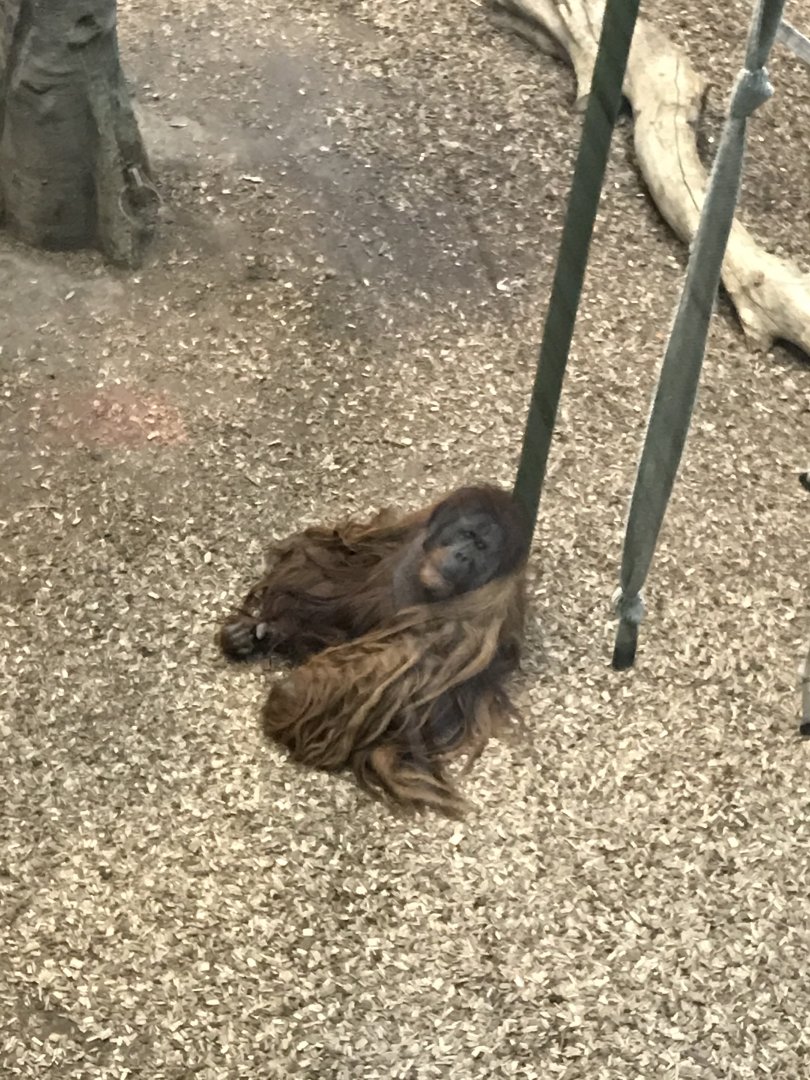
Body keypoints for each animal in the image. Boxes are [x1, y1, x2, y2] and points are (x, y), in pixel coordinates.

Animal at [217, 485, 531, 815]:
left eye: (482, 547)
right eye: (466, 534)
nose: (463, 555)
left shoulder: (485, 609)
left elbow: (407, 664)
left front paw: (289, 695)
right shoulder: (405, 530)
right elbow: (333, 557)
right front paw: (262, 631)